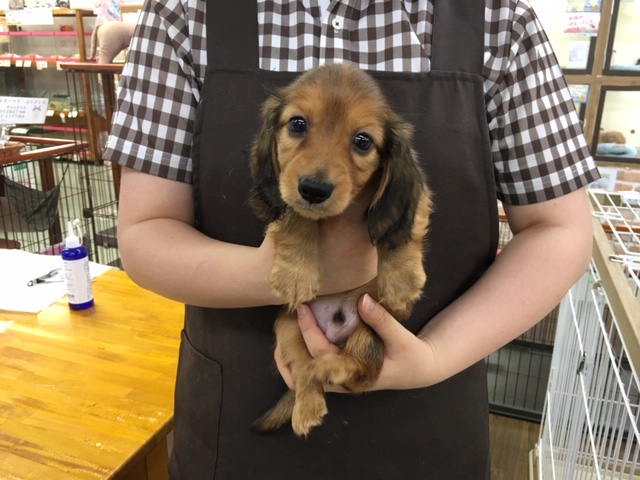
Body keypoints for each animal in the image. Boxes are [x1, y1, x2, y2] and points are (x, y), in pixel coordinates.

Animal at [249, 63, 432, 437]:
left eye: (363, 141)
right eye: (297, 124)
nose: (314, 190)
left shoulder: (418, 198)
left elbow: (399, 227)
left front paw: (401, 280)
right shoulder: (286, 194)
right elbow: (297, 216)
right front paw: (295, 275)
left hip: (368, 329)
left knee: (362, 375)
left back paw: (330, 368)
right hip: (288, 328)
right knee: (304, 371)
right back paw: (308, 404)